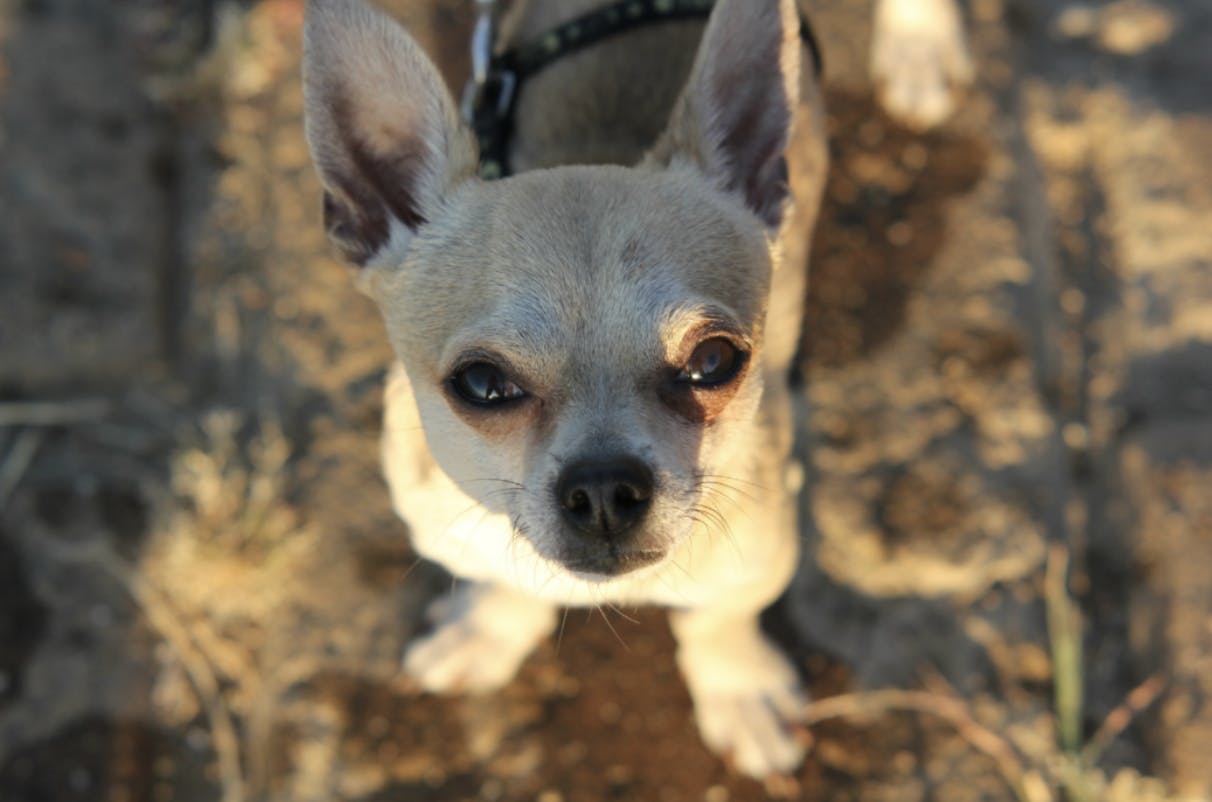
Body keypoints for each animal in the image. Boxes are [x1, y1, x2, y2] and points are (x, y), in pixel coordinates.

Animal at [303, 0, 964, 780]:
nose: (603, 488)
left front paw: (740, 690)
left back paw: (920, 50)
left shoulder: (762, 550)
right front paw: (487, 634)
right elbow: (505, 583)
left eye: (713, 360)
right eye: (482, 384)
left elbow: (720, 618)